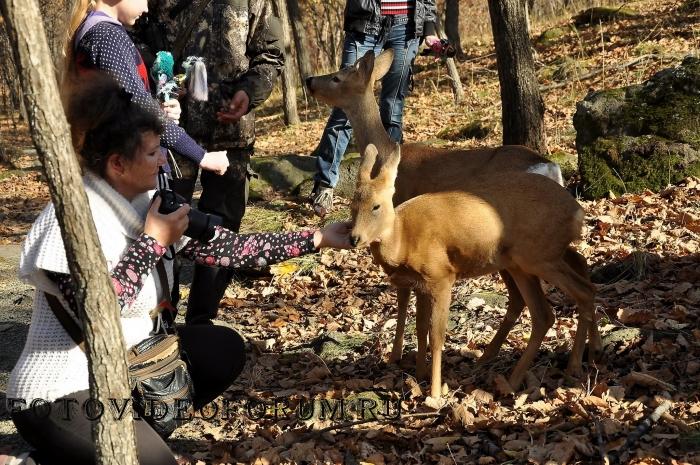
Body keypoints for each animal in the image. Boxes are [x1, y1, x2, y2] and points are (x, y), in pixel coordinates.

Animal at [350, 142, 600, 396]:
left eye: (376, 206)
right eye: (352, 206)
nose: (353, 238)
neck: (403, 239)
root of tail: (577, 212)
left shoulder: (442, 276)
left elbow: (436, 336)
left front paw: (435, 393)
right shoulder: (421, 283)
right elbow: (420, 329)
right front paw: (419, 376)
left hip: (538, 256)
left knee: (581, 291)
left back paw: (572, 367)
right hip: (524, 262)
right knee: (549, 305)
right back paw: (518, 378)